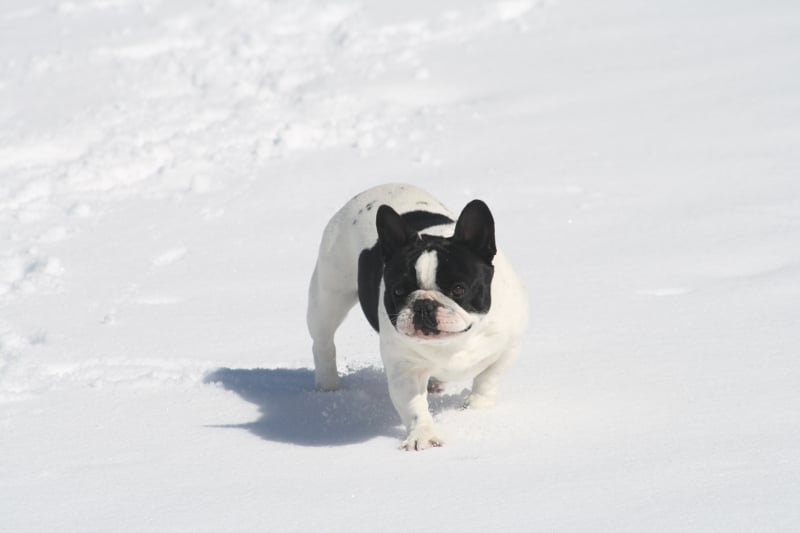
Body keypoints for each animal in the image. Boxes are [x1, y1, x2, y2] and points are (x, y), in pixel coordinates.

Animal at [307, 184, 528, 450]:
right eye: (398, 291)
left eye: (458, 289)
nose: (423, 305)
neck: (455, 343)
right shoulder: (405, 368)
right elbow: (414, 406)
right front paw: (422, 437)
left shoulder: (508, 346)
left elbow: (488, 378)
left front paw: (476, 409)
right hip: (329, 294)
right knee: (323, 341)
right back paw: (328, 386)